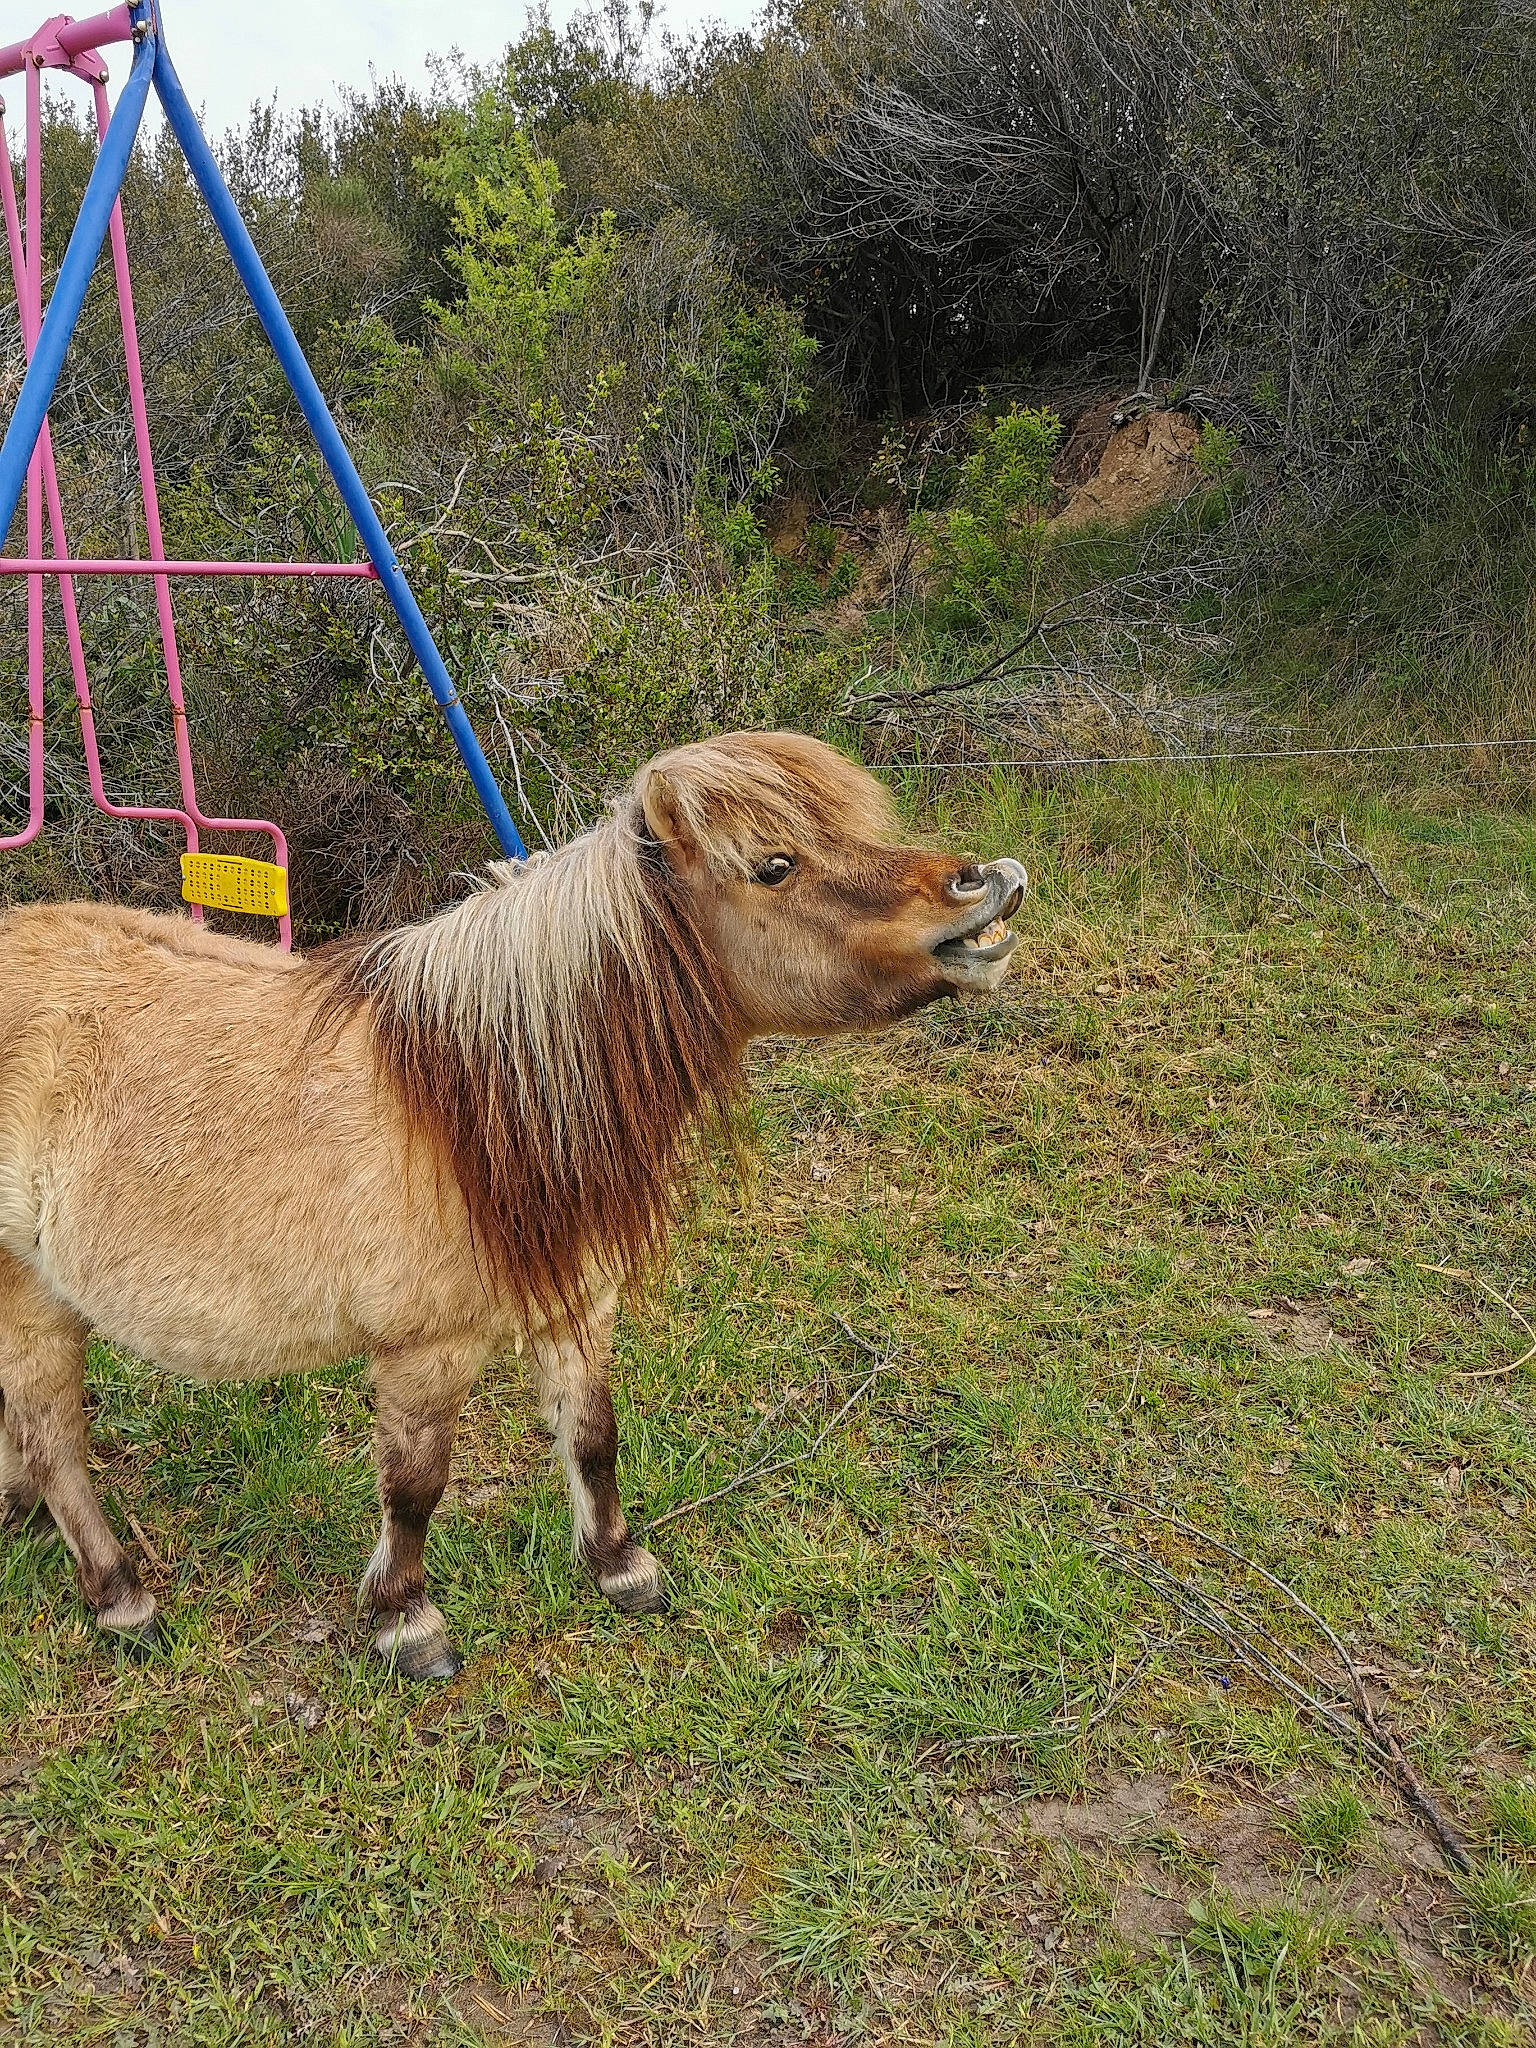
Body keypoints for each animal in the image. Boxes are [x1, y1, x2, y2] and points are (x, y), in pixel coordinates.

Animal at [0, 731, 1026, 1677]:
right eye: (776, 865)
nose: (986, 884)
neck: (482, 1098)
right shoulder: (427, 1353)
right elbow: (414, 1488)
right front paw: (407, 1622)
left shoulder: (580, 1305)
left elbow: (593, 1435)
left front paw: (620, 1567)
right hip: (29, 1293)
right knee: (55, 1438)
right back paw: (120, 1596)